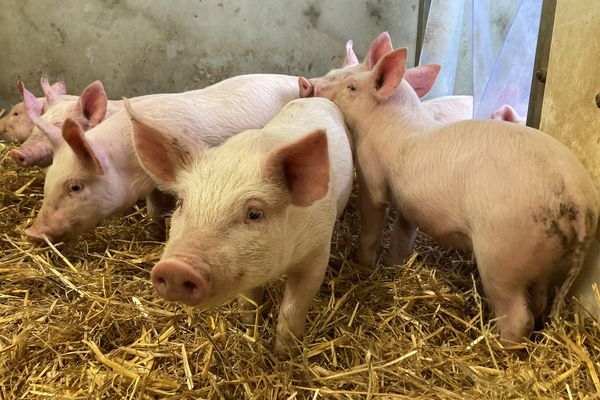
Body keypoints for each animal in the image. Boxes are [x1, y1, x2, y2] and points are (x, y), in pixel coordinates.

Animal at [23, 75, 300, 244]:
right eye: (47, 184)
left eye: (75, 187)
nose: (31, 232)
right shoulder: (153, 185)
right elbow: (154, 210)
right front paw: (154, 231)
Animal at [131, 97, 354, 354]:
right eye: (180, 203)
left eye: (254, 213)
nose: (175, 268)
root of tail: (315, 98)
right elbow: (249, 300)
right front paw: (248, 330)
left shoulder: (317, 254)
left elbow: (292, 309)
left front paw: (283, 354)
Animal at [308, 47, 596, 346]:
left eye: (351, 86)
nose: (314, 86)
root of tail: (579, 201)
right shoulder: (409, 205)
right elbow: (402, 236)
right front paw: (391, 267)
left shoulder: (371, 173)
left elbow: (372, 222)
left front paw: (364, 265)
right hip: (546, 256)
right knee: (539, 300)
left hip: (501, 253)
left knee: (519, 317)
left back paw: (495, 343)